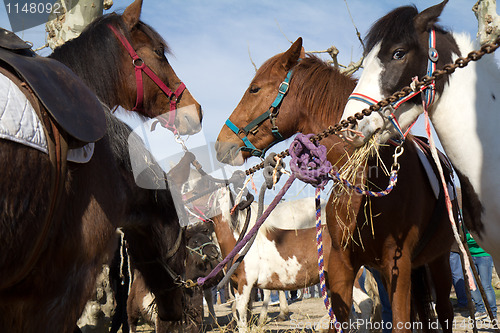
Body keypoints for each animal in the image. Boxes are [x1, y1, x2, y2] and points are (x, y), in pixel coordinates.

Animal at [215, 37, 458, 330]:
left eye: (255, 89)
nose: (221, 143)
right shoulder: (342, 264)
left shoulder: (397, 264)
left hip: (438, 261)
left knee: (443, 310)